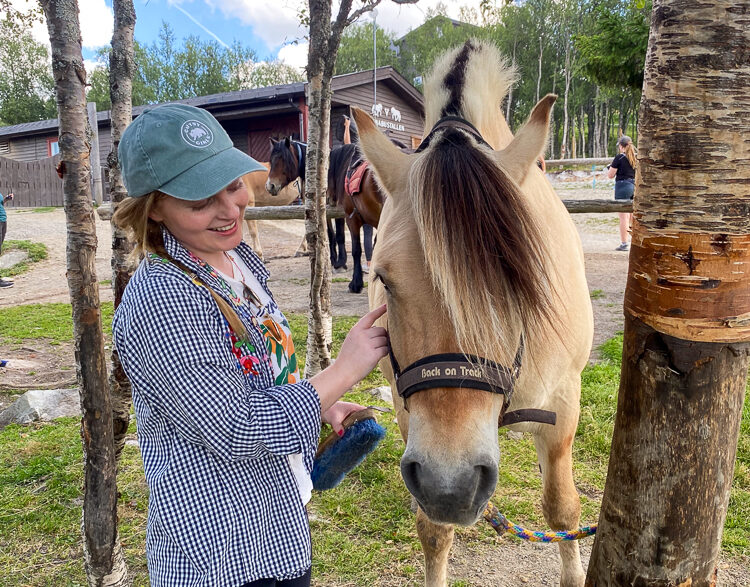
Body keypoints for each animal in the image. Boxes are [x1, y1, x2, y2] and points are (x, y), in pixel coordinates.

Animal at [352, 39, 593, 587]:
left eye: (518, 277)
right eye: (384, 281)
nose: (450, 485)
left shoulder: (564, 404)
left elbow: (562, 509)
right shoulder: (409, 413)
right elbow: (435, 530)